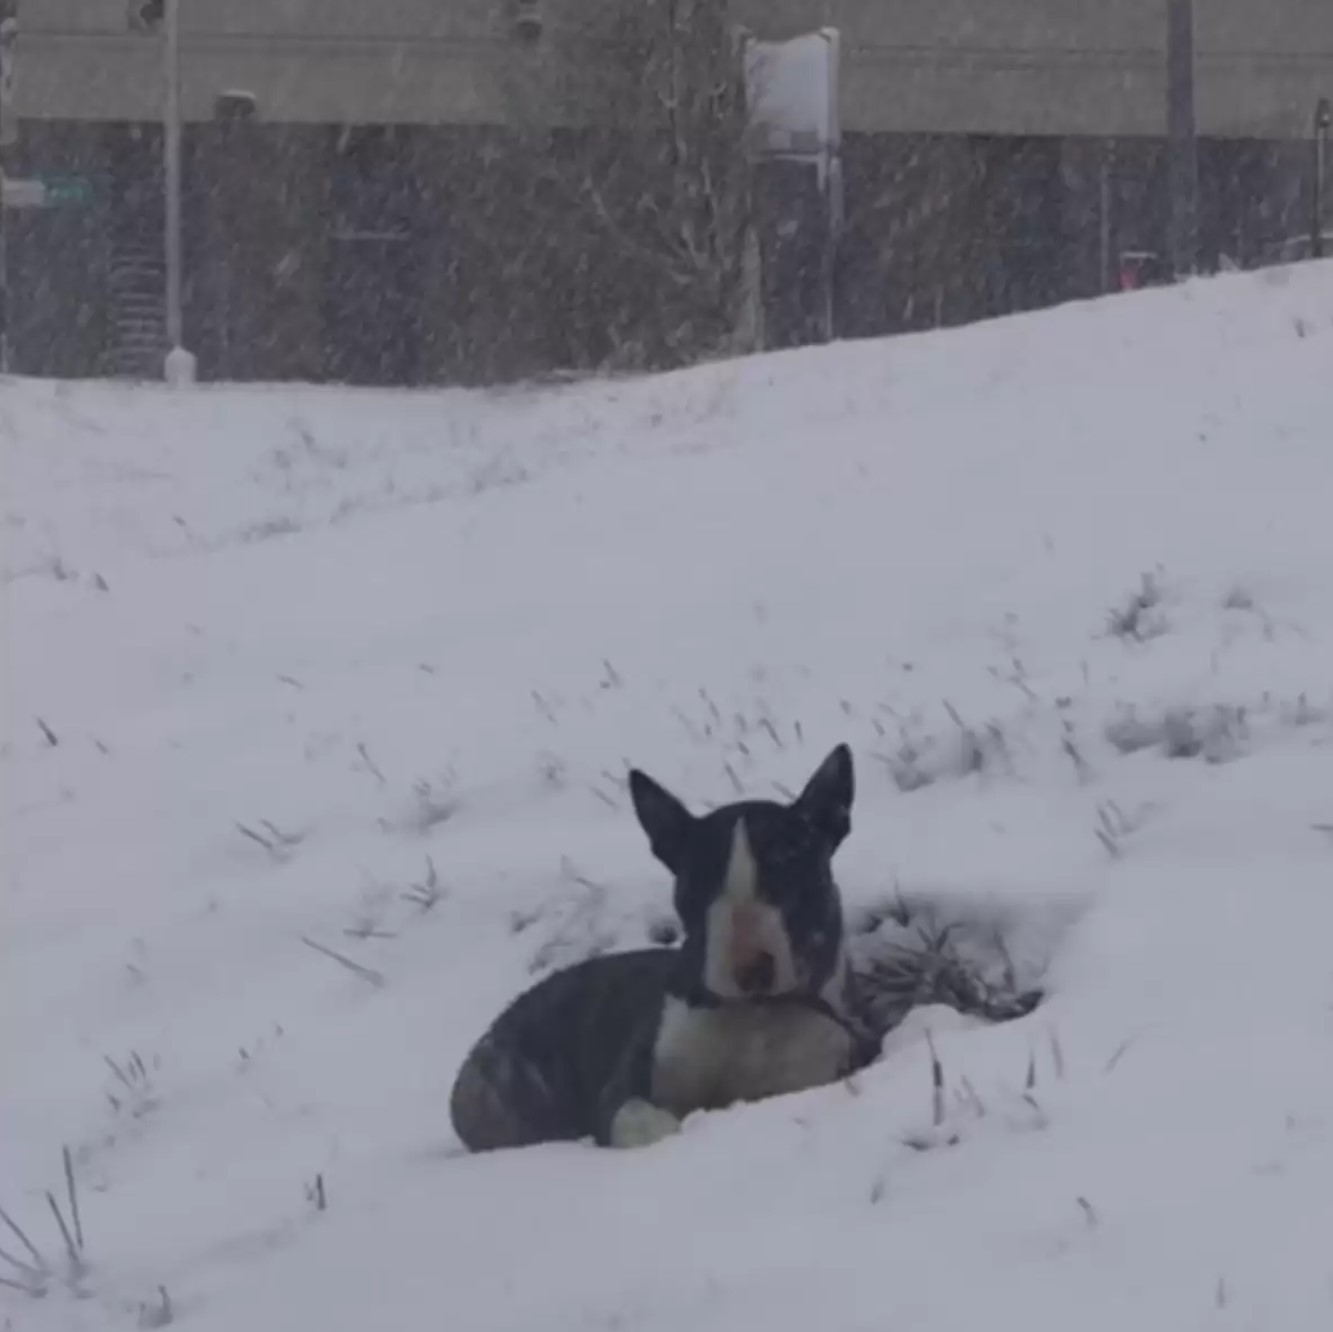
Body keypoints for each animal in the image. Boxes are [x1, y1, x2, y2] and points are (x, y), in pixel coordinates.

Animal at [453, 746, 879, 1152]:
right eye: (698, 884)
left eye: (791, 873)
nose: (750, 970)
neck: (755, 1016)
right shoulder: (629, 1081)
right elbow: (634, 1114)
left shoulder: (820, 1063)